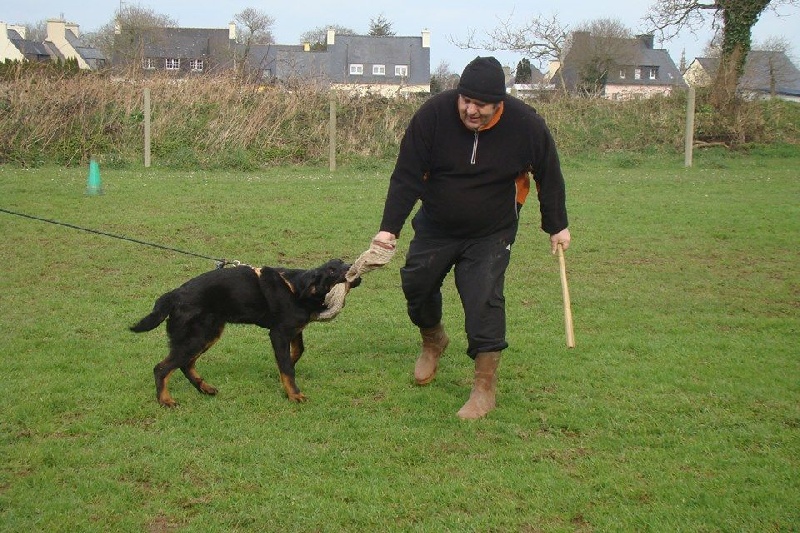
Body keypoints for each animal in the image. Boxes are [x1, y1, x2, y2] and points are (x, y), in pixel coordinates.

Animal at [130, 258, 360, 408]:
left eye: (343, 261)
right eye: (332, 270)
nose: (353, 268)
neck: (296, 289)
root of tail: (174, 294)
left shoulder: (294, 331)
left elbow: (296, 353)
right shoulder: (279, 333)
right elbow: (287, 367)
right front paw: (294, 395)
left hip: (208, 334)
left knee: (185, 365)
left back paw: (205, 388)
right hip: (198, 336)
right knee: (162, 368)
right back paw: (165, 400)